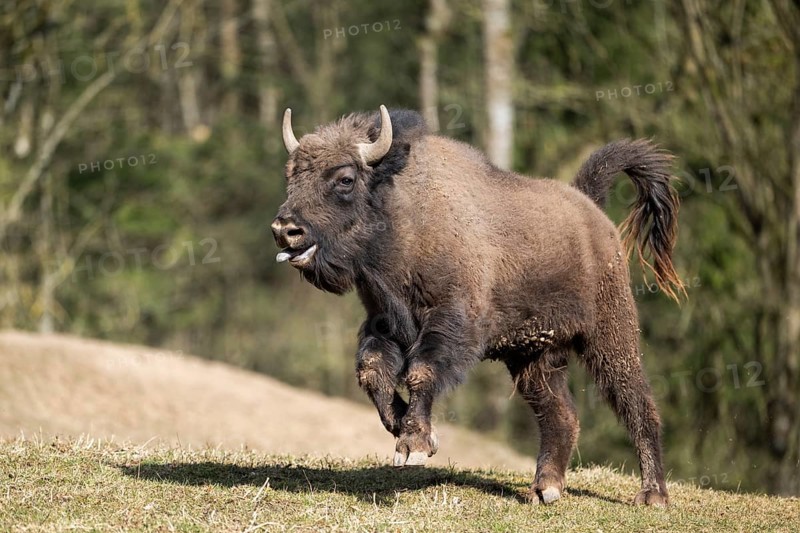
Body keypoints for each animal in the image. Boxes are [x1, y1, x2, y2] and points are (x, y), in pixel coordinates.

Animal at [271, 105, 683, 507]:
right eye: (292, 174)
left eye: (345, 179)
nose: (284, 229)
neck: (405, 216)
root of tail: (589, 209)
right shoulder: (383, 323)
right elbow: (373, 373)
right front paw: (412, 432)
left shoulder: (451, 322)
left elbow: (420, 371)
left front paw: (414, 446)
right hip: (533, 355)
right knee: (560, 414)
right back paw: (544, 490)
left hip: (609, 334)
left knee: (636, 401)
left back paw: (652, 496)